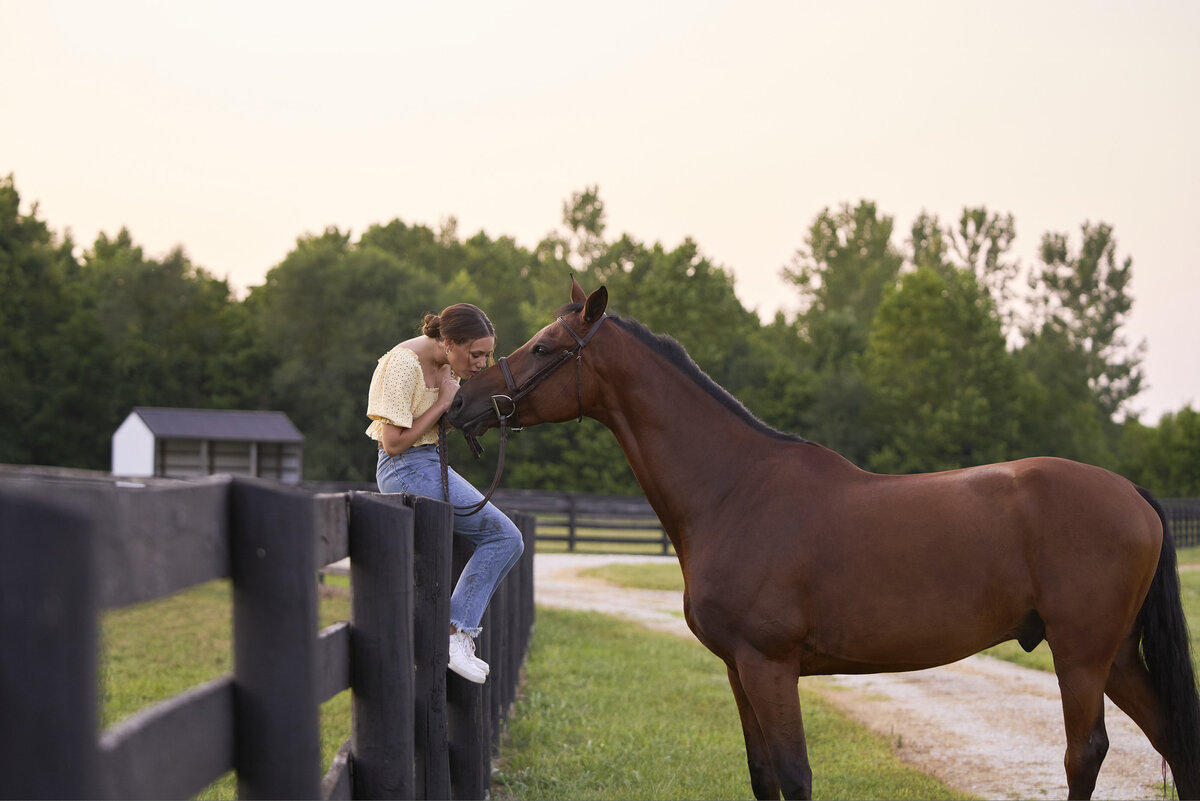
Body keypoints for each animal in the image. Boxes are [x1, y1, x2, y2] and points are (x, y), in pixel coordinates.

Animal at [446, 278, 1195, 796]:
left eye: (546, 347)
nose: (462, 404)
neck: (735, 491)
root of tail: (1131, 492)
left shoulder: (770, 665)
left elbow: (795, 774)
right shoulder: (739, 669)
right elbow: (763, 776)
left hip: (1082, 654)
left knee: (1084, 754)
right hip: (1115, 654)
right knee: (1173, 738)